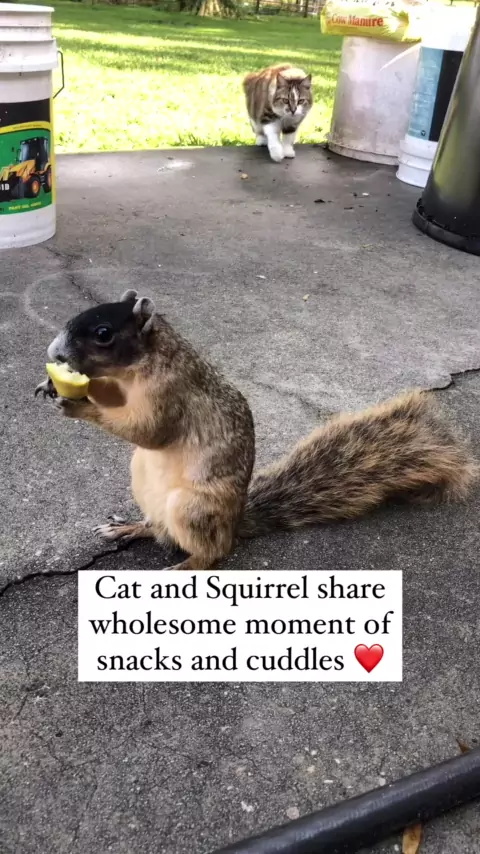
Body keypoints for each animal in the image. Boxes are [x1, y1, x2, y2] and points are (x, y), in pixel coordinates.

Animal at [35, 289, 478, 571]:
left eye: (104, 334)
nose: (54, 353)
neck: (150, 360)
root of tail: (234, 524)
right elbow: (113, 399)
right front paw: (52, 385)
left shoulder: (172, 394)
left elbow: (149, 431)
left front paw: (77, 404)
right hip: (144, 485)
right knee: (159, 530)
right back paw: (128, 526)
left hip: (195, 508)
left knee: (213, 553)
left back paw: (185, 567)